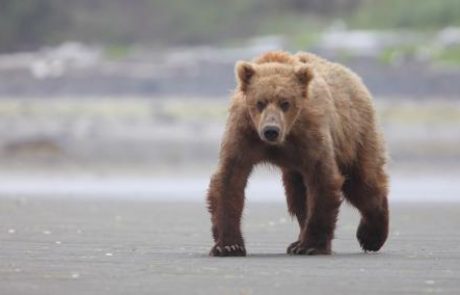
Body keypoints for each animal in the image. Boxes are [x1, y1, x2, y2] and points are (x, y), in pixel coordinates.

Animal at [206, 50, 388, 256]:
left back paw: (371, 237)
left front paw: (311, 246)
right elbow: (229, 180)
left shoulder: (311, 135)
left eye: (285, 103)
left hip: (355, 134)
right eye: (260, 102)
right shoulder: (243, 135)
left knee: (362, 182)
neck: (282, 140)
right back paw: (296, 242)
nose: (271, 130)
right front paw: (229, 246)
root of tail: (353, 76)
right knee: (297, 194)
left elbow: (322, 180)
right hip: (296, 167)